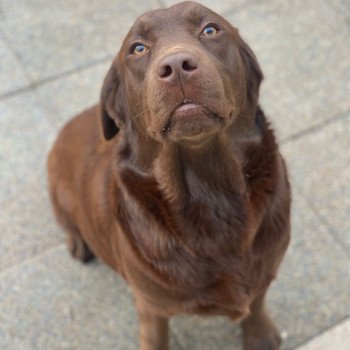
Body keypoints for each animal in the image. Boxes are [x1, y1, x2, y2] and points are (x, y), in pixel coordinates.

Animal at [47, 1, 292, 348]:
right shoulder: (150, 304)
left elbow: (256, 302)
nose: (176, 65)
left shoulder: (267, 264)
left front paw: (260, 336)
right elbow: (155, 336)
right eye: (137, 48)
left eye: (210, 29)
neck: (209, 190)